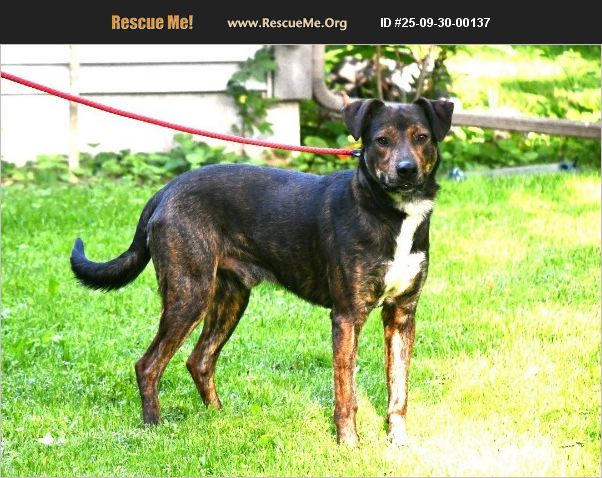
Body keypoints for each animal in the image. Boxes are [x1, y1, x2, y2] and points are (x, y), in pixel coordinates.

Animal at [70, 97, 454, 446]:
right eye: (381, 140)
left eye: (421, 137)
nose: (406, 169)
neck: (390, 213)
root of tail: (166, 190)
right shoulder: (347, 316)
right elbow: (346, 392)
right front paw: (349, 445)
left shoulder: (402, 314)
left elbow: (399, 390)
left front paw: (398, 442)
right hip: (189, 293)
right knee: (148, 365)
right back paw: (153, 428)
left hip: (230, 297)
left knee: (199, 360)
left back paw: (218, 417)